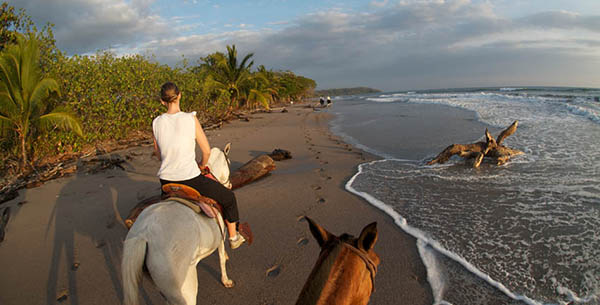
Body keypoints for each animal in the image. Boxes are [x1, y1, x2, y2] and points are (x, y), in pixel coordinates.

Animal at [122, 142, 232, 304]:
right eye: (228, 162)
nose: (229, 185)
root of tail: (143, 234)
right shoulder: (220, 237)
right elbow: (222, 259)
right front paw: (226, 280)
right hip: (184, 289)